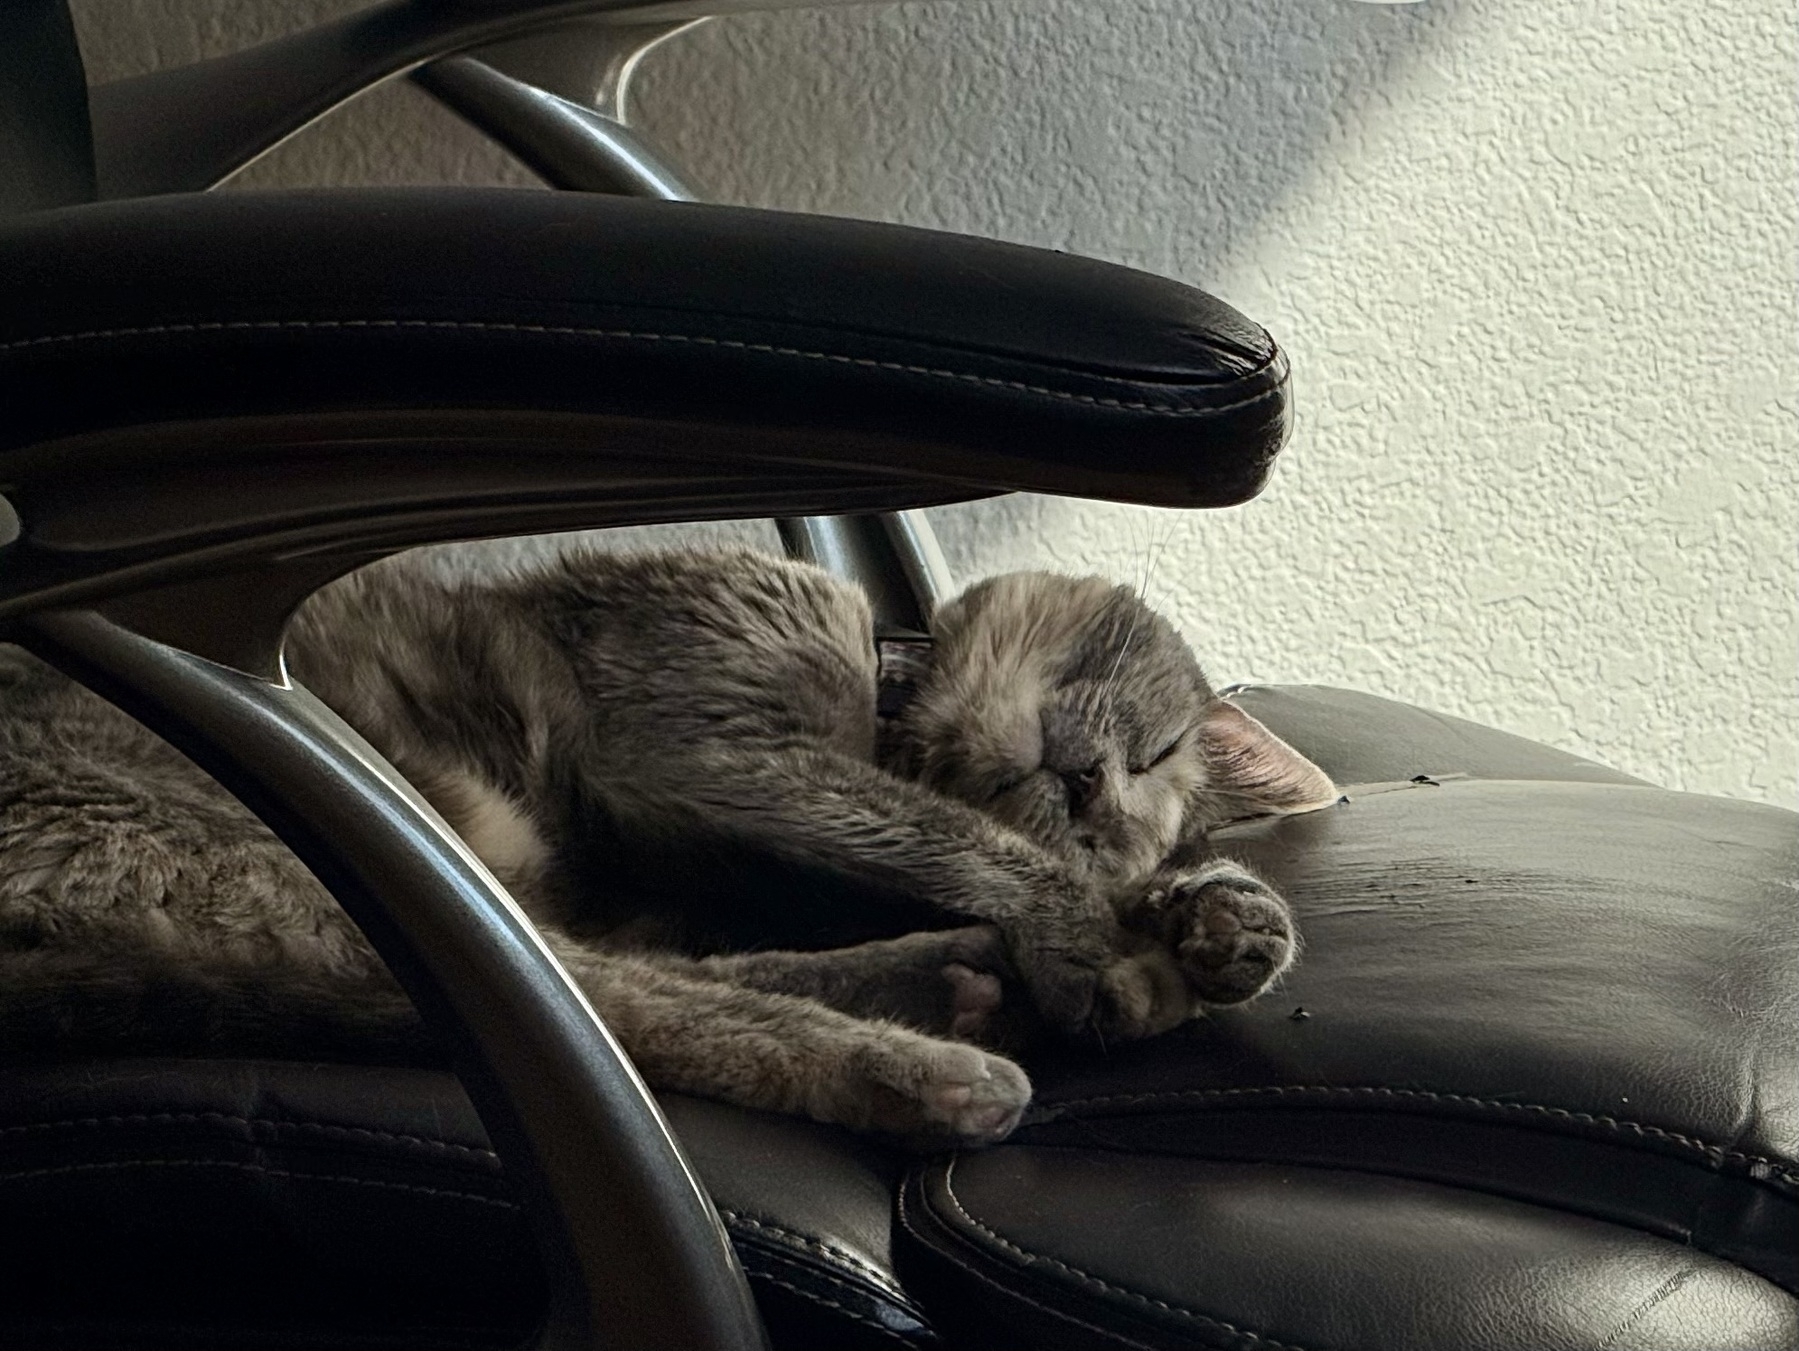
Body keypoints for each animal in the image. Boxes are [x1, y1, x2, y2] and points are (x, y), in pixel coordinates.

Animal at [0, 543, 1338, 1144]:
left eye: (1139, 794)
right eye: (1158, 749)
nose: (1087, 790)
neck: (880, 698)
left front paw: (1208, 914)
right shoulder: (700, 746)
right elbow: (949, 833)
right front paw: (1112, 938)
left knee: (632, 981)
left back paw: (960, 987)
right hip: (228, 829)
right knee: (609, 1005)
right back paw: (939, 1063)